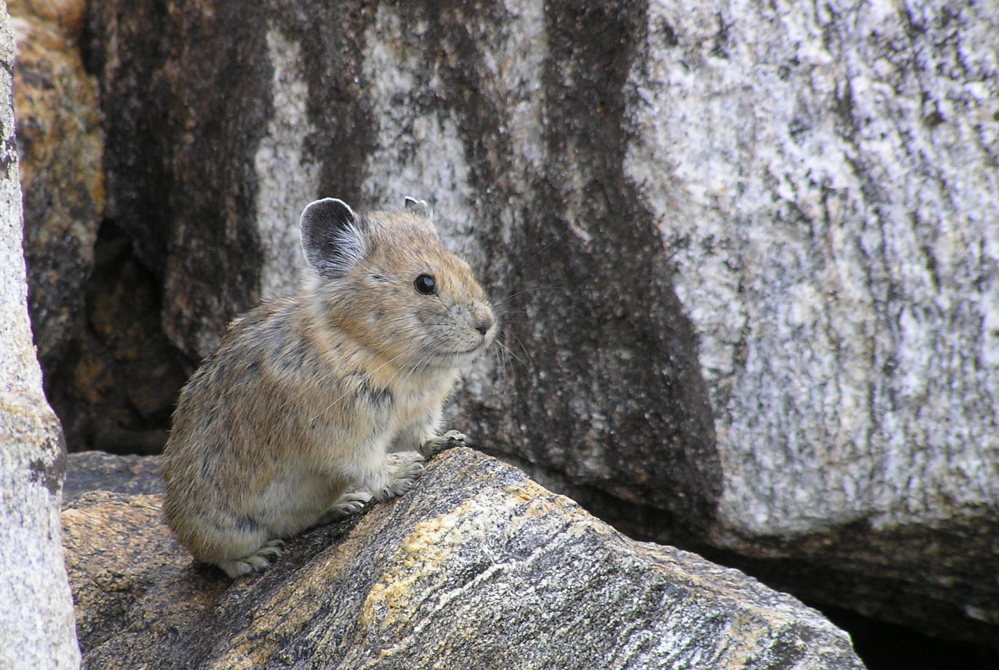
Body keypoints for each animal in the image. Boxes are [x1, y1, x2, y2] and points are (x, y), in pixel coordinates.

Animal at [162, 197, 496, 577]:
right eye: (425, 283)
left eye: (465, 266)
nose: (487, 324)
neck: (370, 348)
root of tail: (175, 518)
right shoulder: (344, 434)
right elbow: (369, 465)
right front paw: (402, 475)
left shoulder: (419, 414)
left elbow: (422, 437)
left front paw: (450, 440)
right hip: (227, 529)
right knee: (218, 557)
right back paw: (256, 558)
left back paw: (344, 505)